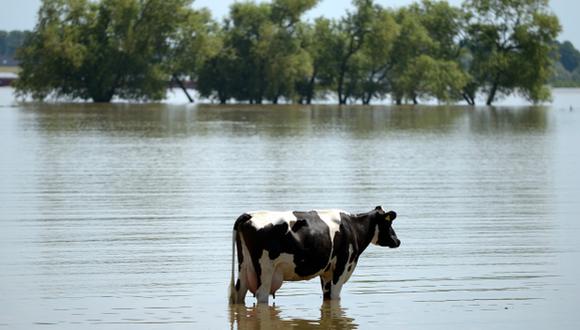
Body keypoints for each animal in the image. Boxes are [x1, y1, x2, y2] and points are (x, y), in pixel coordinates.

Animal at [229, 206, 402, 304]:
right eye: (389, 223)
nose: (397, 241)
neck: (353, 227)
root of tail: (250, 215)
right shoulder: (342, 266)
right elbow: (335, 296)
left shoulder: (326, 272)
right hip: (265, 271)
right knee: (261, 296)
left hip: (244, 267)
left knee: (238, 293)